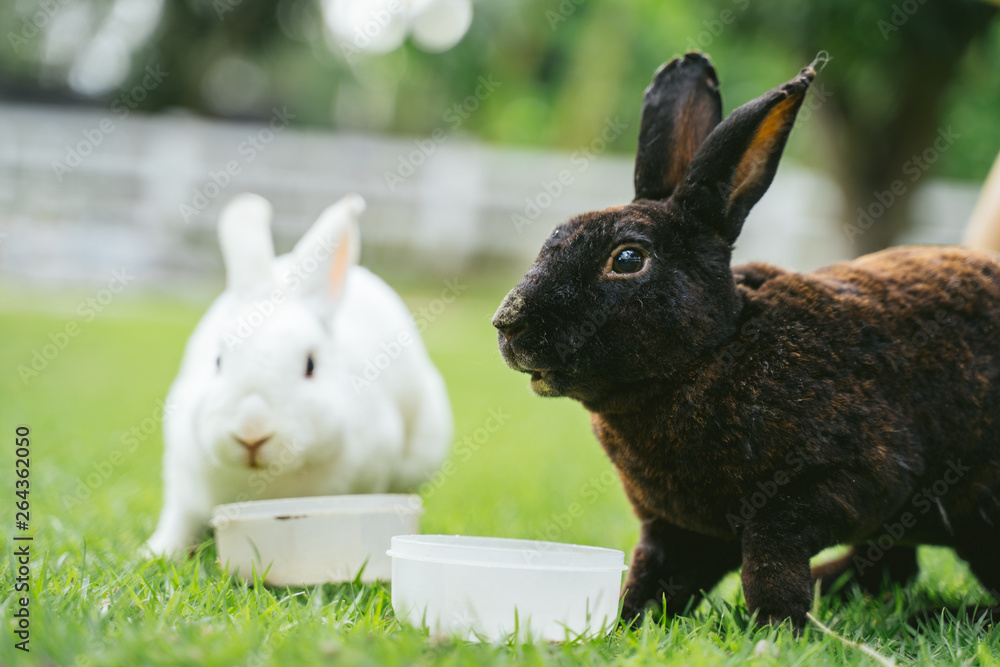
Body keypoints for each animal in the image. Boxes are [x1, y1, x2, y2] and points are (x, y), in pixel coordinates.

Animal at [143, 193, 452, 560]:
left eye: (310, 366)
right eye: (217, 361)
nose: (251, 433)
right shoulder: (182, 478)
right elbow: (179, 519)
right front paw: (157, 552)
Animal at [492, 53, 1000, 632]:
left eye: (628, 259)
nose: (508, 324)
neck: (713, 352)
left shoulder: (845, 480)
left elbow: (769, 550)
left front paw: (775, 628)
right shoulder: (676, 530)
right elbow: (652, 575)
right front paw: (626, 625)